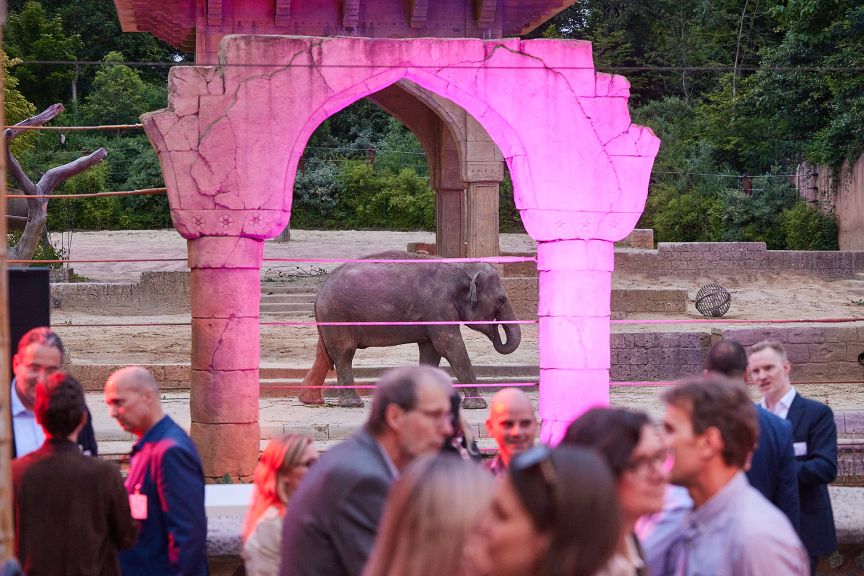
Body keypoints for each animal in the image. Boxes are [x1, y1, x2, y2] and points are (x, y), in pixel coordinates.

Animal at [300, 252, 524, 410]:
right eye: (501, 300)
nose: (495, 332)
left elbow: (431, 351)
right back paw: (352, 404)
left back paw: (310, 401)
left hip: (331, 318)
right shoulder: (438, 305)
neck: (462, 266)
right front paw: (478, 406)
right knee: (344, 353)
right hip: (338, 314)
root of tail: (319, 292)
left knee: (324, 354)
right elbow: (449, 345)